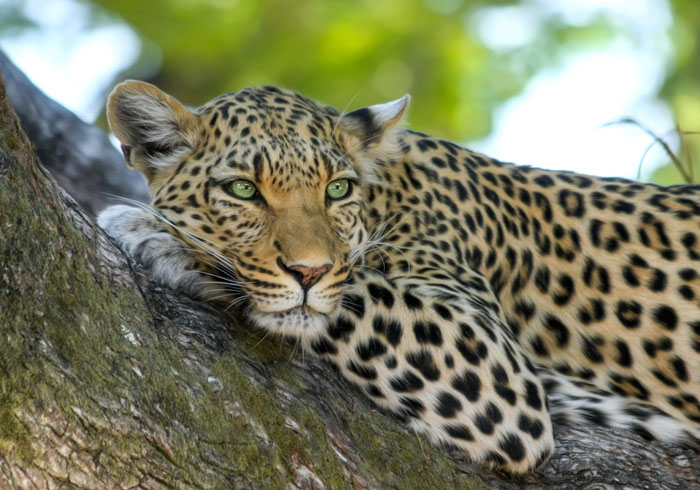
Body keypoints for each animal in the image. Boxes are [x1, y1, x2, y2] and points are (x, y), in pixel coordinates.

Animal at [98, 80, 700, 474]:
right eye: (243, 190)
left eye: (337, 189)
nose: (309, 270)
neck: (389, 196)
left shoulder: (494, 365)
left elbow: (352, 291)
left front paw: (158, 234)